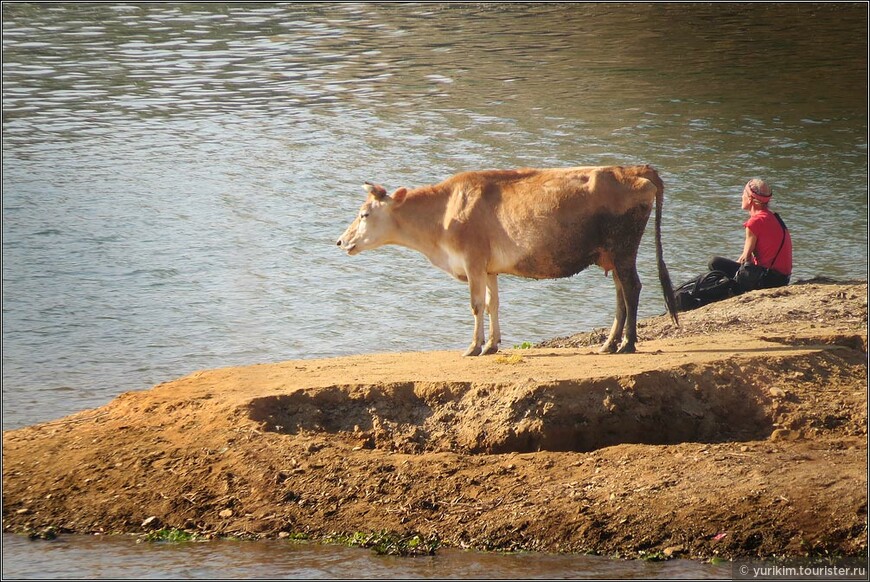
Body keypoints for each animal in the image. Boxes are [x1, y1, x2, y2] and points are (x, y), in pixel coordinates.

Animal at [336, 164, 680, 356]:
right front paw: (491, 345)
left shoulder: (473, 260)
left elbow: (476, 305)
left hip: (623, 248)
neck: (443, 213)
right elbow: (493, 304)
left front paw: (473, 347)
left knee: (632, 288)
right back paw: (609, 344)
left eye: (364, 214)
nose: (340, 241)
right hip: (611, 253)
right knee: (621, 292)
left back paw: (628, 343)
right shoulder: (489, 268)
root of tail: (634, 169)